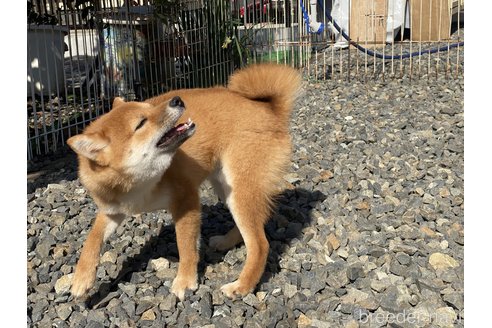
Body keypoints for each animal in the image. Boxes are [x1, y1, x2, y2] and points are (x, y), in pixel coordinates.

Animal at [67, 63, 302, 300]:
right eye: (141, 123)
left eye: (149, 106)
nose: (177, 100)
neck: (139, 186)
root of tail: (269, 109)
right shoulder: (112, 210)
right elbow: (91, 240)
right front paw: (81, 278)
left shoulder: (186, 200)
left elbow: (186, 246)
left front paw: (185, 281)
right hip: (226, 187)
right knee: (249, 230)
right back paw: (225, 242)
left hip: (240, 190)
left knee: (260, 244)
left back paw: (241, 285)